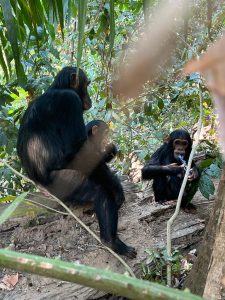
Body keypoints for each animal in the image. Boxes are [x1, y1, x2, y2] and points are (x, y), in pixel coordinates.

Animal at [16, 66, 136, 258]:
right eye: (86, 84)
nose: (89, 98)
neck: (57, 88)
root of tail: (41, 188)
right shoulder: (70, 101)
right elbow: (76, 151)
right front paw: (117, 188)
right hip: (64, 184)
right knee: (99, 192)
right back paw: (112, 242)